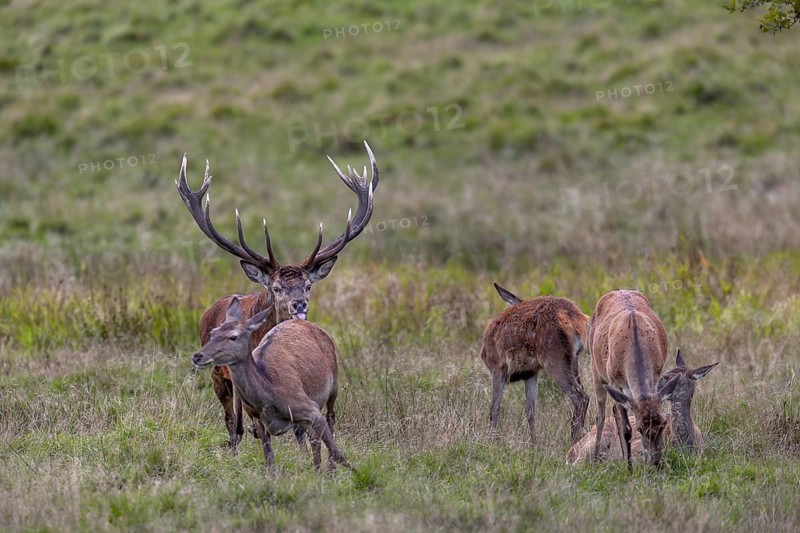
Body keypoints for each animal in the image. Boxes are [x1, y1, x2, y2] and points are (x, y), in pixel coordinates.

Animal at [192, 296, 350, 471]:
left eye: (233, 336)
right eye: (213, 333)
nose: (197, 356)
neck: (269, 394)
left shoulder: (310, 408)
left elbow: (336, 450)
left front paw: (351, 472)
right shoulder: (258, 420)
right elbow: (269, 458)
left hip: (333, 385)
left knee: (330, 418)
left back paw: (329, 467)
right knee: (313, 437)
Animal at [480, 282, 590, 445]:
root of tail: (575, 317)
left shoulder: (497, 367)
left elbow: (494, 408)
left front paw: (489, 441)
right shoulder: (531, 373)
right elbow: (530, 411)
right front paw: (534, 443)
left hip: (553, 356)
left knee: (580, 396)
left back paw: (574, 439)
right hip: (574, 359)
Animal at [589, 289, 681, 469]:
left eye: (663, 423)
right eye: (639, 428)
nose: (656, 461)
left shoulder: (655, 377)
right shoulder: (614, 381)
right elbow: (626, 429)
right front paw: (630, 469)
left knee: (614, 410)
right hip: (596, 369)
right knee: (600, 415)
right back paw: (596, 458)